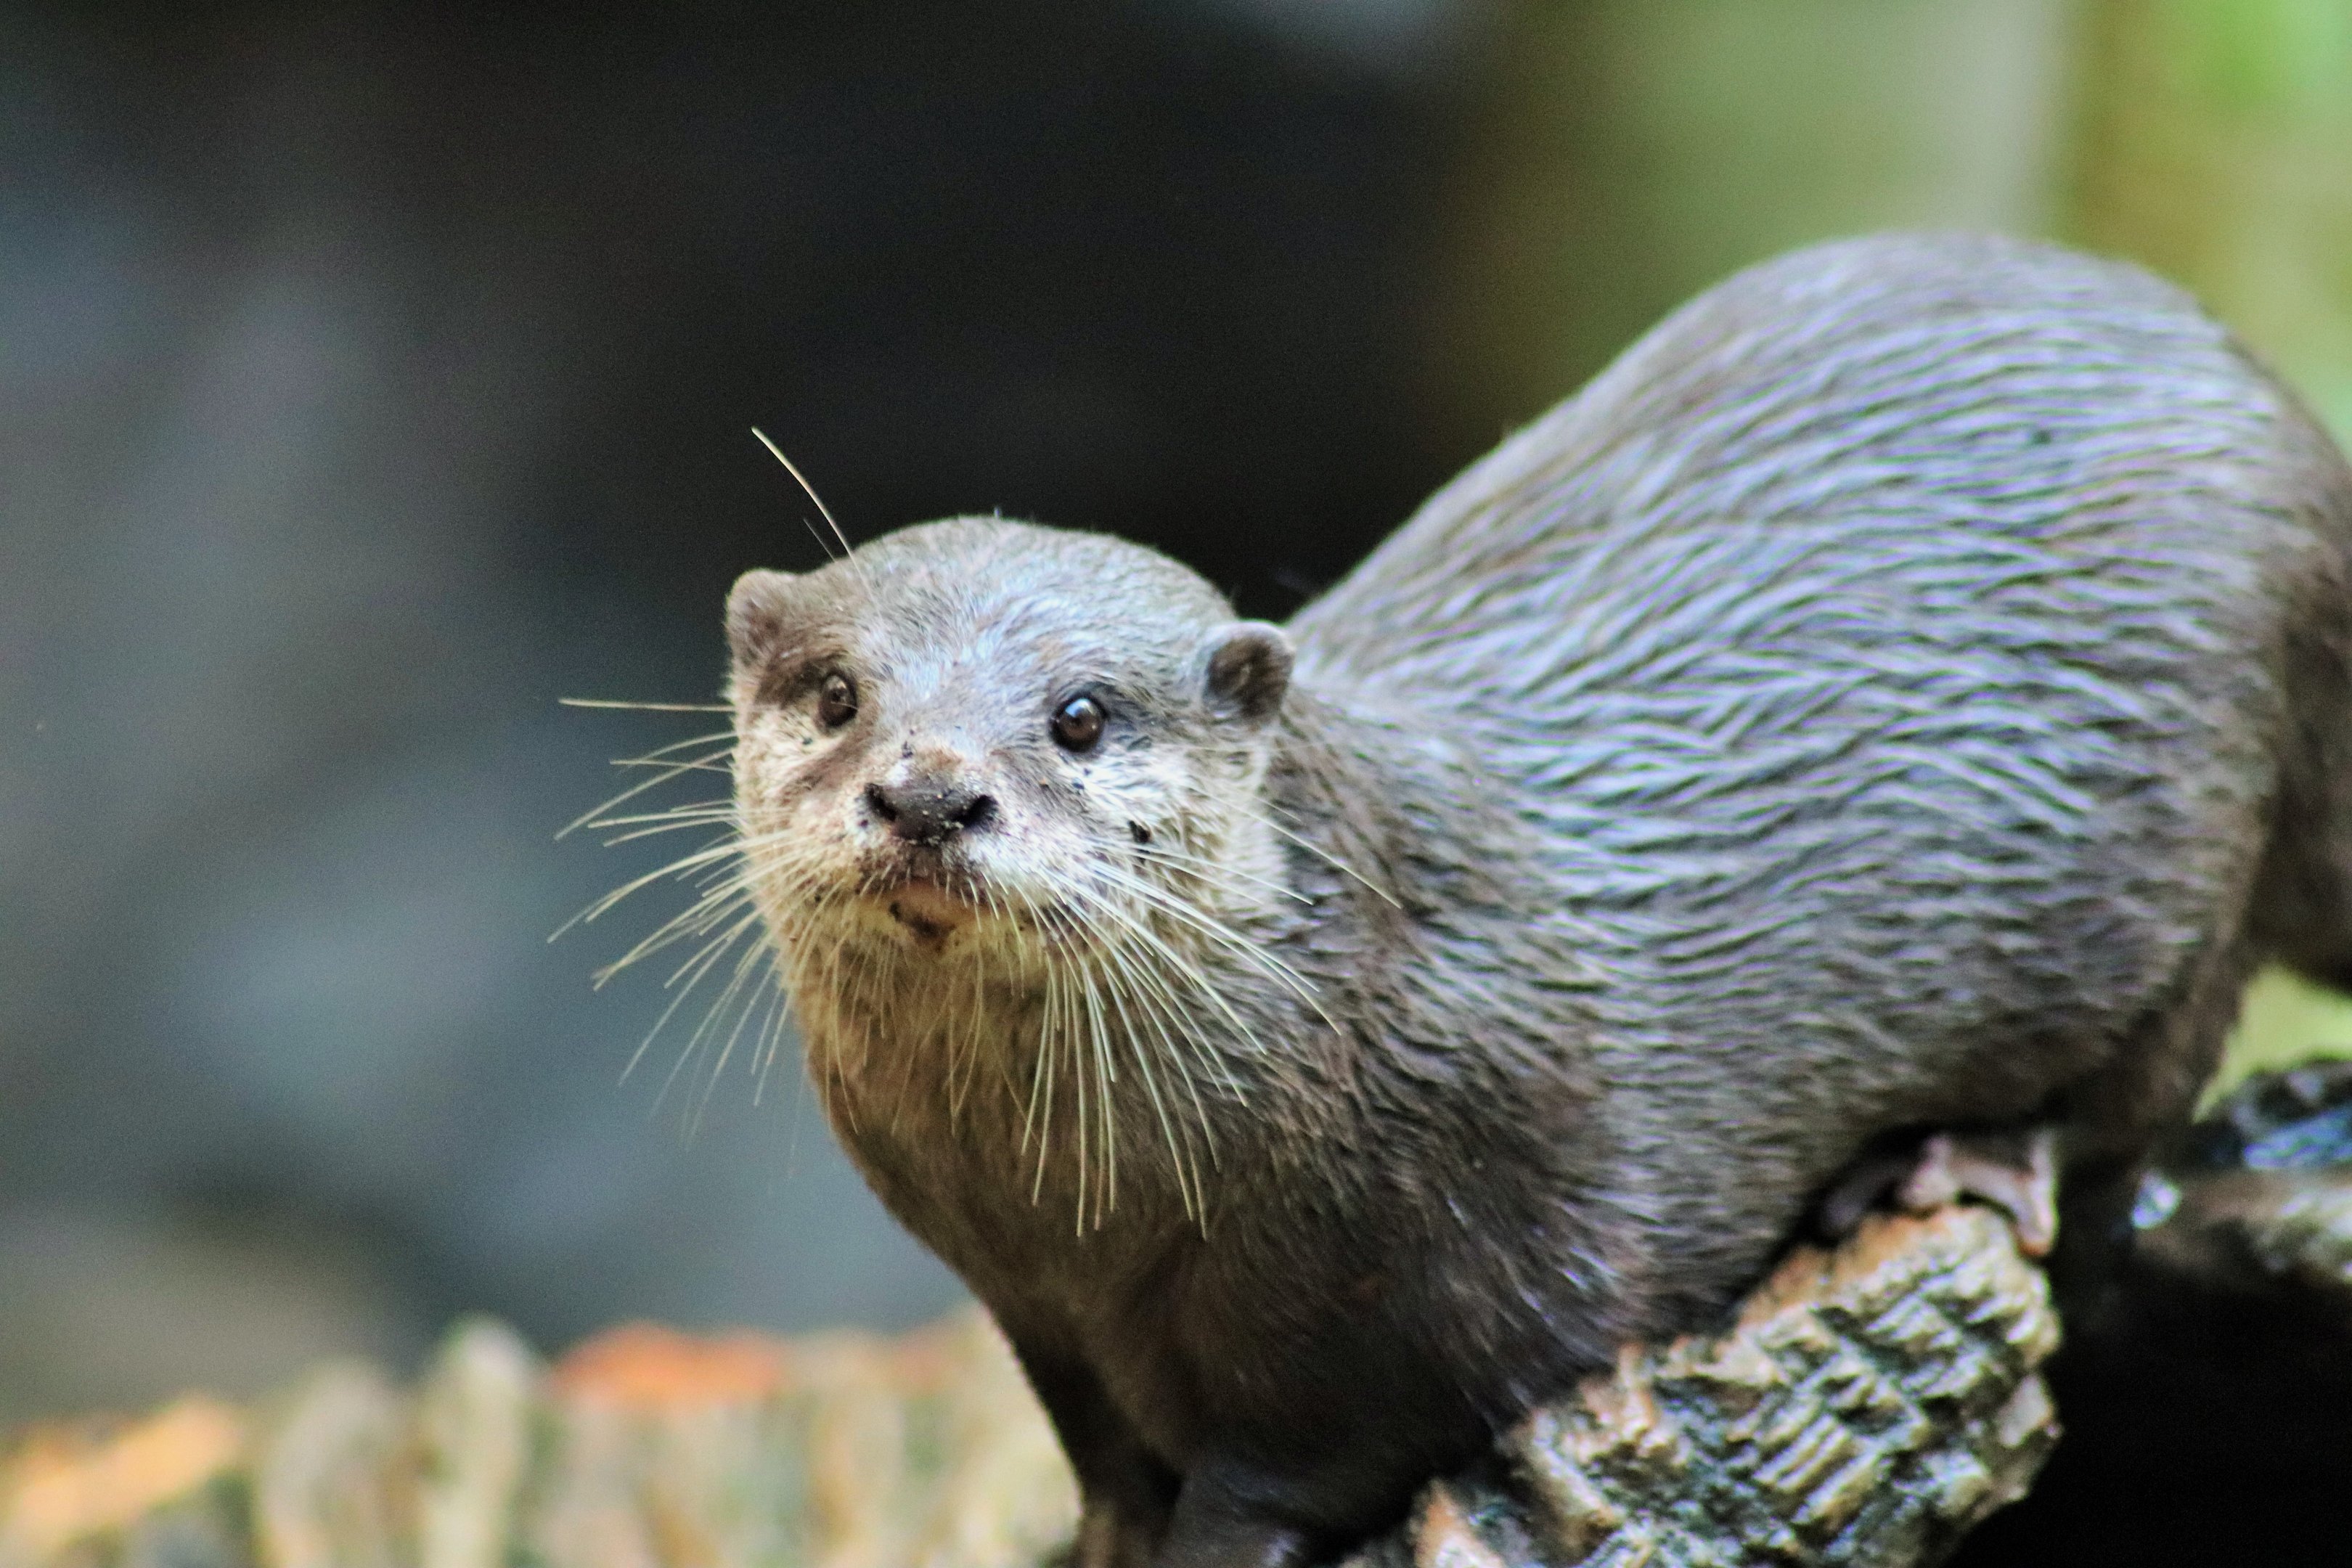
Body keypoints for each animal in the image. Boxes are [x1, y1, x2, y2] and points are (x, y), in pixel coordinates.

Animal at [719, 234, 2352, 1567]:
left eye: (1077, 717)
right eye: (838, 692)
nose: (931, 792)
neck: (1087, 1206)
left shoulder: (1431, 1254)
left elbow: (1319, 1451)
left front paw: (1212, 1541)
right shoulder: (1032, 1303)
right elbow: (1107, 1456)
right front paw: (1104, 1539)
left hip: (2204, 810)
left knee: (2138, 1093)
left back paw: (1952, 1160)